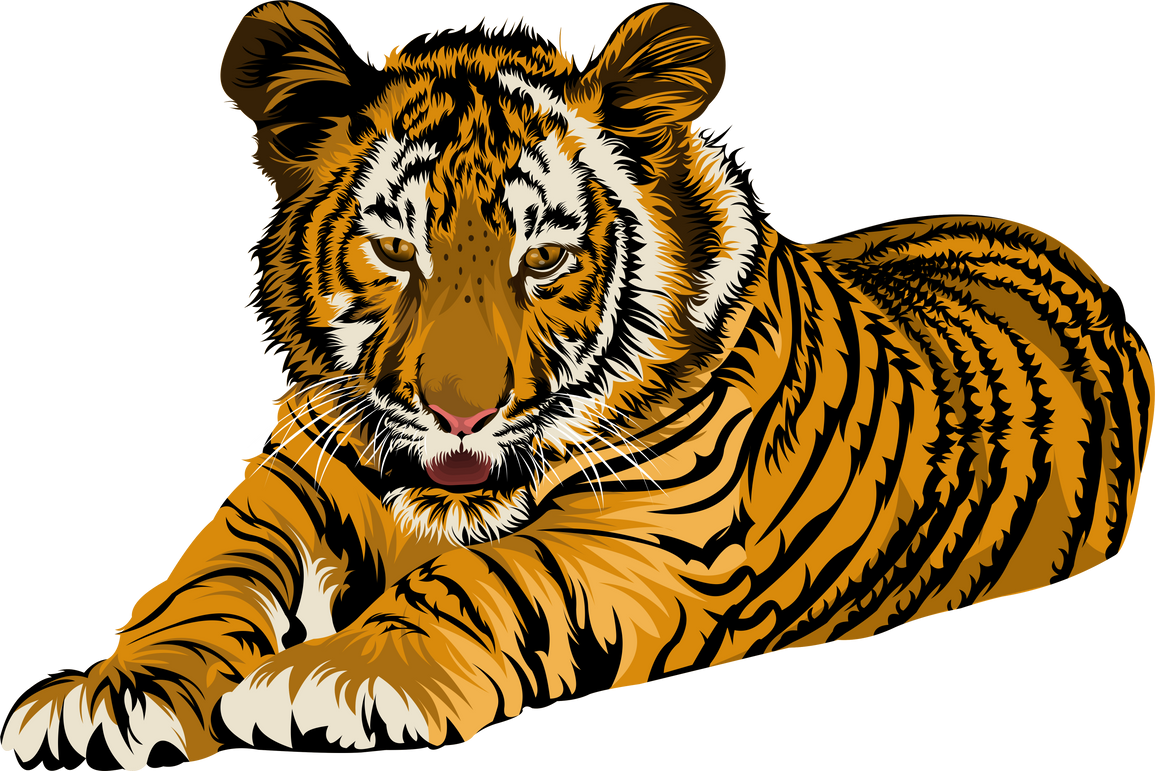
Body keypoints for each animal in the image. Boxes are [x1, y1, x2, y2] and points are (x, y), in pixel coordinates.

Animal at [2, 1, 1149, 768]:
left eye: (545, 259)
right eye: (395, 251)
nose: (459, 411)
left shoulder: (655, 537)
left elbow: (495, 576)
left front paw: (346, 675)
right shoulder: (285, 479)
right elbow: (199, 578)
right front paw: (112, 696)